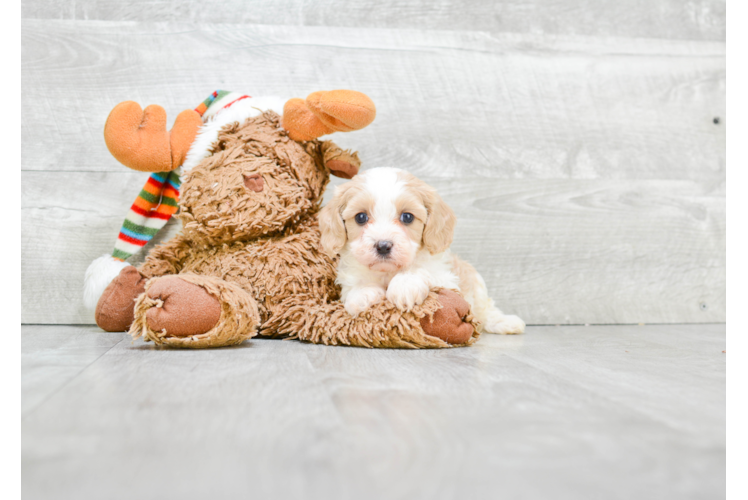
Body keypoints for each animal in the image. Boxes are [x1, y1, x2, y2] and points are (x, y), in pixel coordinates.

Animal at [318, 168, 524, 336]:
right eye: (361, 217)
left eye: (407, 217)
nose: (383, 245)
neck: (388, 272)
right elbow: (354, 290)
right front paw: (362, 294)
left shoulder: (447, 279)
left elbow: (422, 270)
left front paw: (404, 285)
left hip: (476, 284)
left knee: (486, 310)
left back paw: (507, 323)